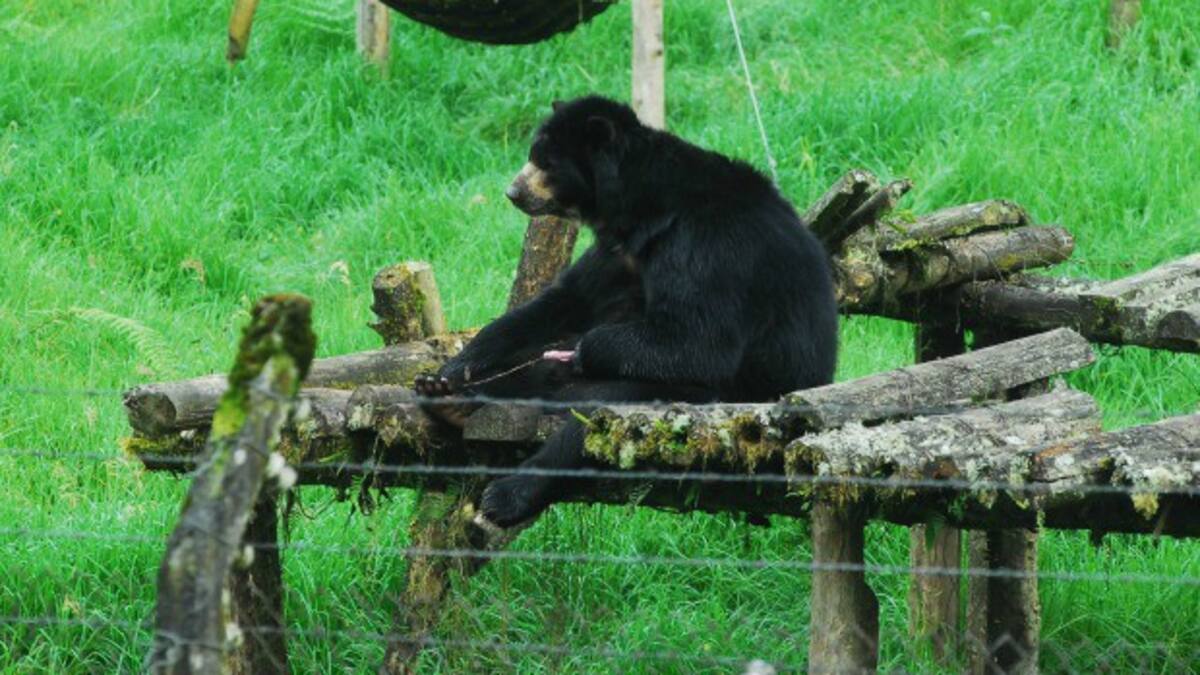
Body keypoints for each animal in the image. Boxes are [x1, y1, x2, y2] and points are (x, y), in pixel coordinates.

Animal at [415, 95, 838, 527]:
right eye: (533, 155)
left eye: (546, 162)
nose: (513, 192)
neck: (641, 211)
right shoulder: (619, 254)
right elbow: (563, 301)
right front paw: (453, 371)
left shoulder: (705, 246)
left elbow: (697, 341)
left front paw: (583, 349)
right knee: (534, 367)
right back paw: (452, 400)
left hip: (723, 391)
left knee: (598, 413)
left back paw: (507, 494)